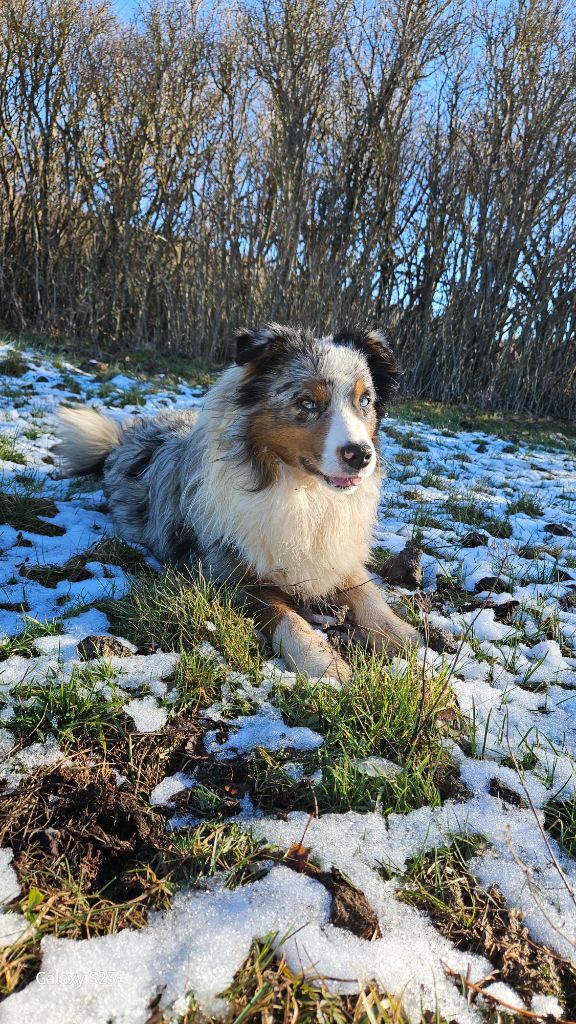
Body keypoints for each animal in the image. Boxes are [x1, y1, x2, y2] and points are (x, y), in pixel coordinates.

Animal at [58, 325, 416, 679]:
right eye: (306, 402)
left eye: (365, 400)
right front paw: (322, 663)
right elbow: (288, 619)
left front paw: (406, 638)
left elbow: (368, 595)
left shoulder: (335, 556)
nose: (361, 455)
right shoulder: (229, 577)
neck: (301, 492)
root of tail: (123, 437)